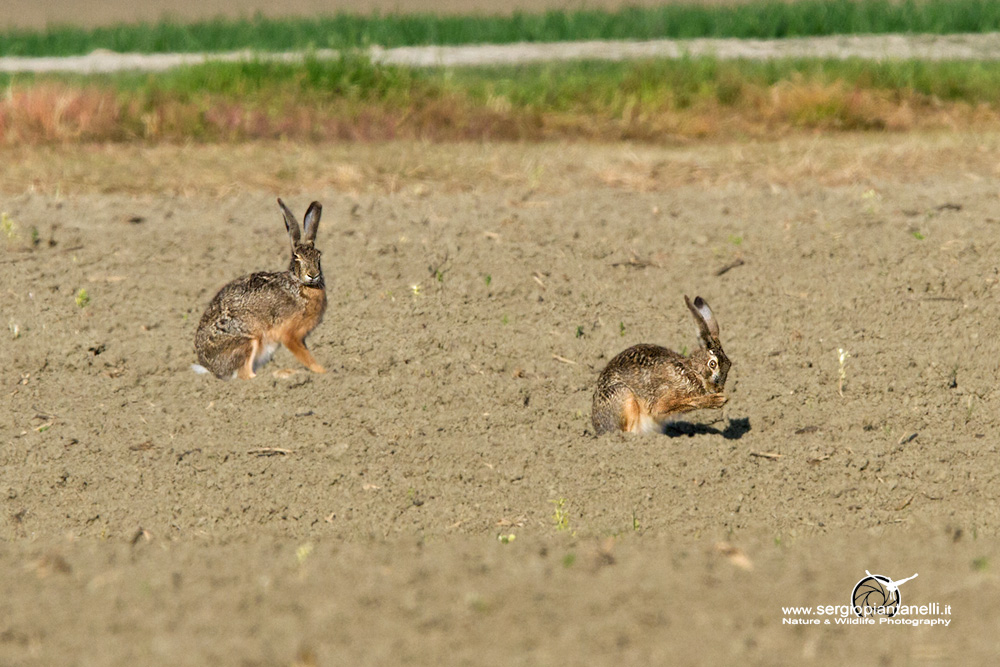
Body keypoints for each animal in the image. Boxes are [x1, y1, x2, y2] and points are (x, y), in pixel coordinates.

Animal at [193, 198, 327, 380]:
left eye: (318, 256)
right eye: (296, 258)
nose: (313, 275)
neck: (298, 284)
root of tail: (210, 368)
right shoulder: (290, 335)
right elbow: (306, 357)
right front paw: (323, 372)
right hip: (248, 342)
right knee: (245, 375)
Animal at [591, 295, 731, 434]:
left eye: (729, 365)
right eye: (712, 364)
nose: (718, 389)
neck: (691, 371)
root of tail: (598, 427)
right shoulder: (663, 400)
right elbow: (675, 405)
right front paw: (717, 400)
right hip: (624, 396)